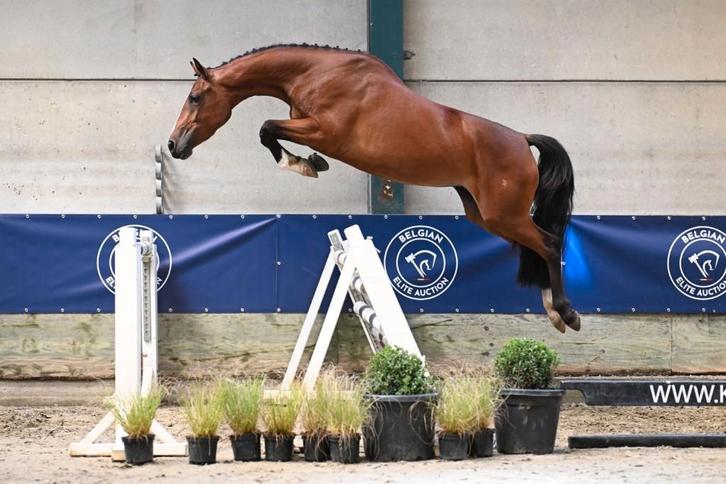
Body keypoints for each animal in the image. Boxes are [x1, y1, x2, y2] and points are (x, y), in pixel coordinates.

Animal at [168, 44, 579, 333]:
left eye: (195, 97)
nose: (174, 145)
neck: (318, 74)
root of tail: (521, 139)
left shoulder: (324, 131)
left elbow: (267, 128)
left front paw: (304, 164)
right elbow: (270, 131)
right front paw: (307, 162)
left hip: (503, 215)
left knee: (549, 243)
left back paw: (566, 312)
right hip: (486, 215)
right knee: (537, 246)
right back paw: (552, 311)